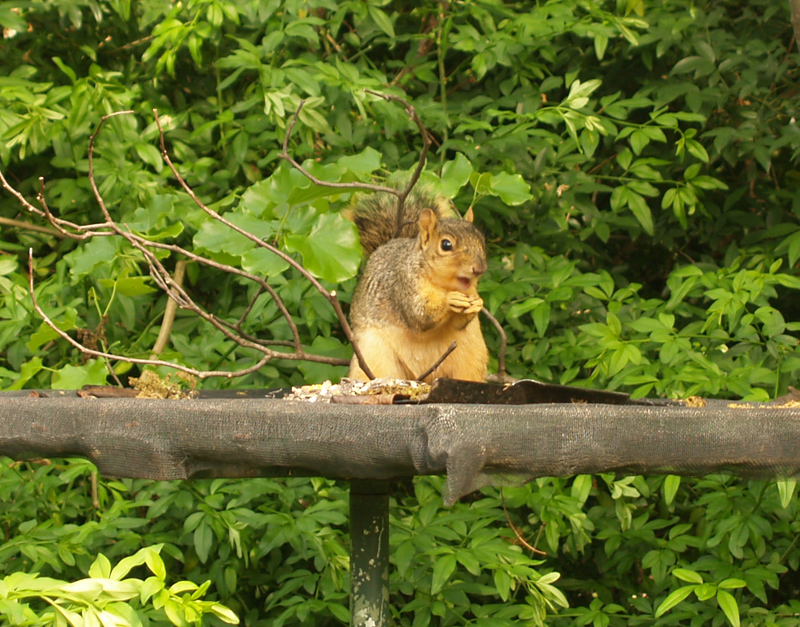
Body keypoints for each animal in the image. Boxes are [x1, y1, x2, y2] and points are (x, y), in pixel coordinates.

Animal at [346, 183, 490, 382]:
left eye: (481, 240)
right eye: (446, 245)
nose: (479, 268)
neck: (444, 286)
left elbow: (459, 324)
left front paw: (477, 303)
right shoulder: (403, 286)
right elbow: (420, 315)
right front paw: (450, 300)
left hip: (471, 357)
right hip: (374, 356)